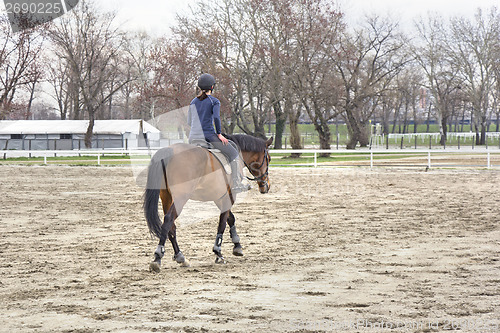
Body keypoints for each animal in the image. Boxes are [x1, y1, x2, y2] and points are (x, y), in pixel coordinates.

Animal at [143, 134, 272, 272]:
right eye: (269, 159)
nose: (266, 186)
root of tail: (169, 150)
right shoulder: (228, 197)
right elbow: (222, 223)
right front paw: (218, 252)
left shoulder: (219, 198)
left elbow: (230, 218)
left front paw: (237, 245)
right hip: (181, 197)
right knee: (168, 220)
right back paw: (157, 258)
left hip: (166, 196)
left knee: (171, 226)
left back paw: (180, 257)